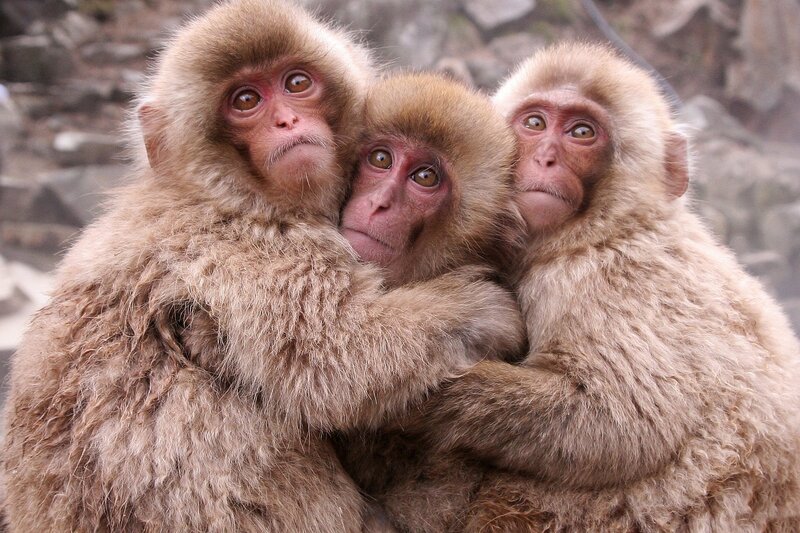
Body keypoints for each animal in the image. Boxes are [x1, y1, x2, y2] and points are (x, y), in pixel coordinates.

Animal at [0, 1, 525, 531]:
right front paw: (483, 308)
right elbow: (338, 352)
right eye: (246, 100)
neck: (228, 191)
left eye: (296, 83)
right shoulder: (246, 246)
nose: (287, 121)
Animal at [342, 42, 800, 532]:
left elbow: (622, 423)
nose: (545, 158)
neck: (600, 230)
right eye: (535, 123)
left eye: (582, 132)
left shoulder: (601, 278)